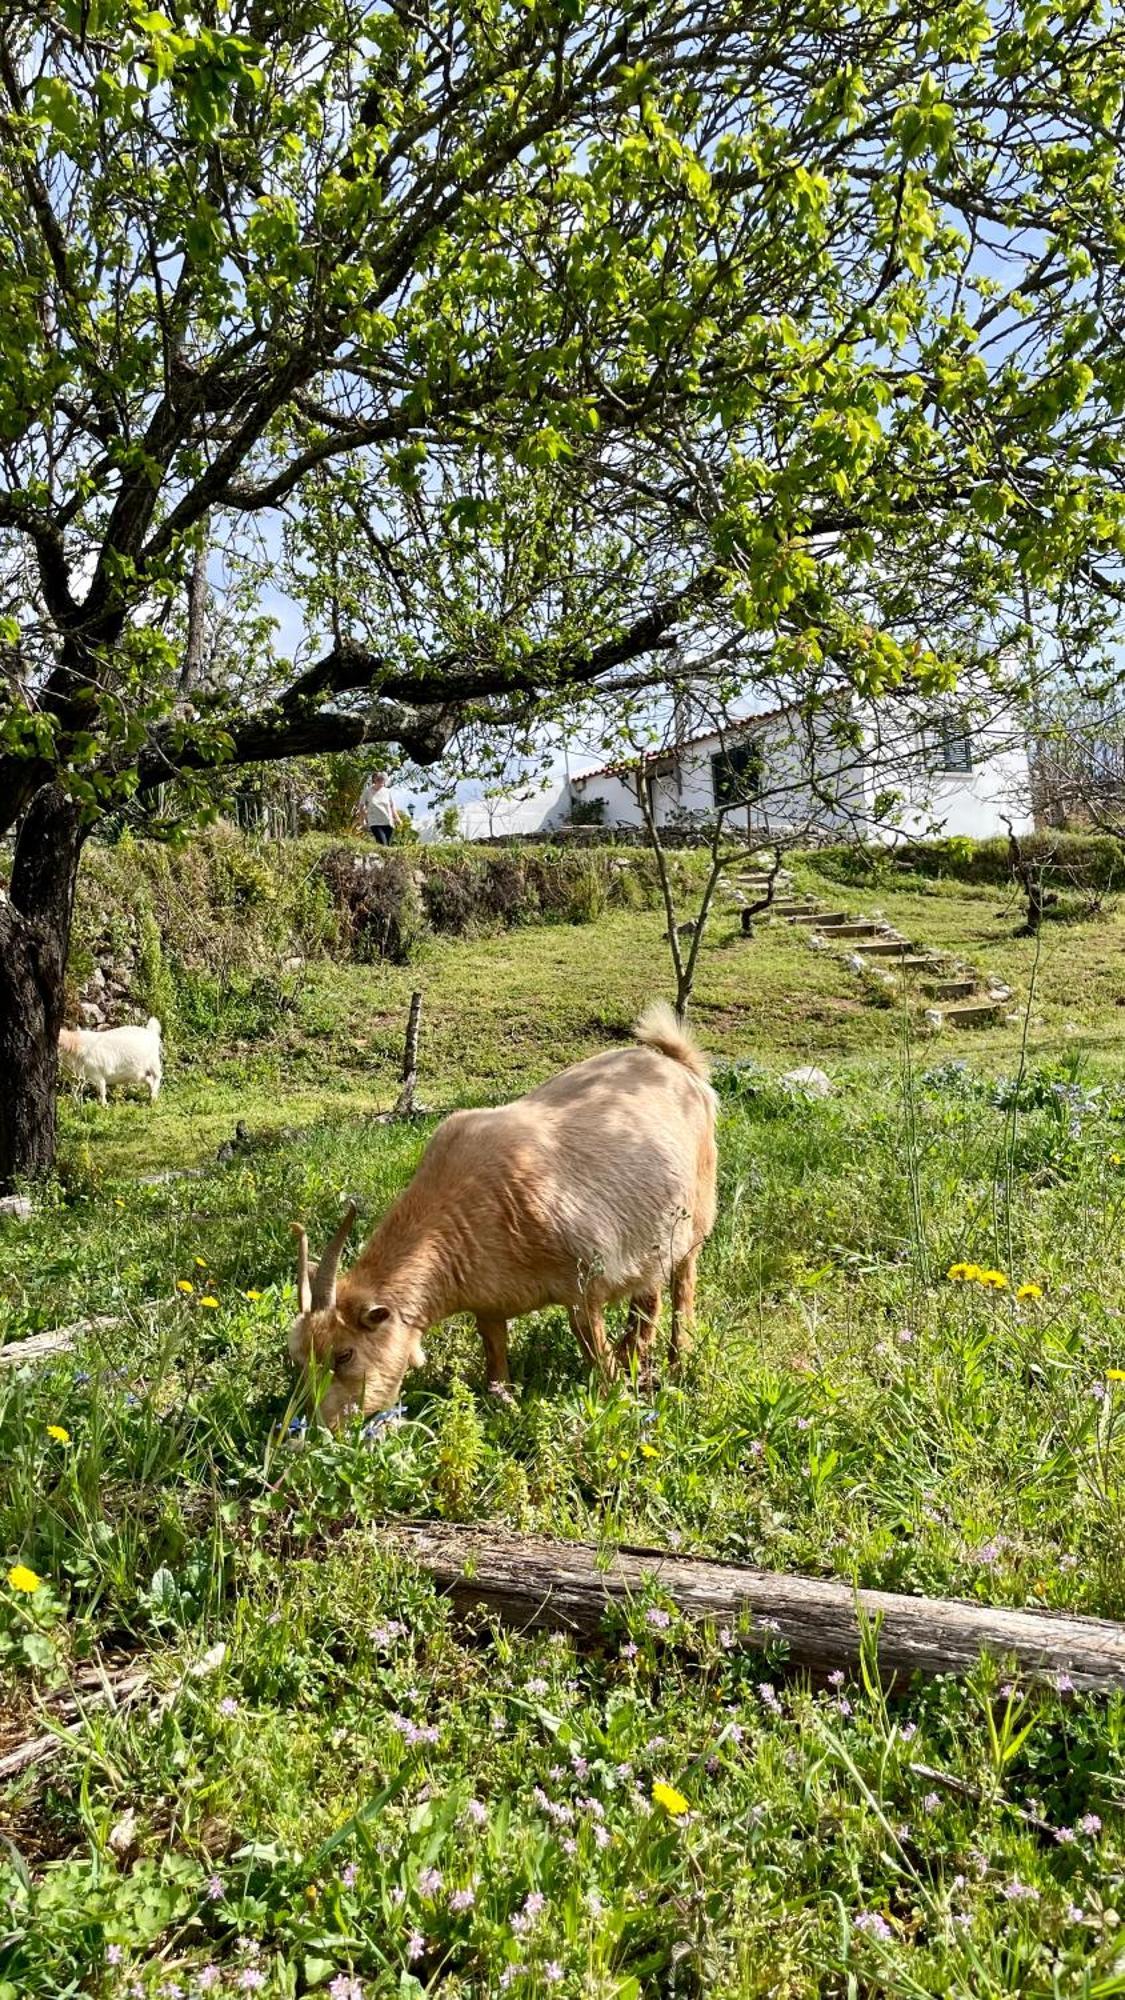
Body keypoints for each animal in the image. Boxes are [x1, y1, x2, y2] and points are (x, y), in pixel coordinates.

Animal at [284, 1000, 712, 1424]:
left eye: (344, 1354)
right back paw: (636, 1355)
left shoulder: (583, 1285)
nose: (321, 1428)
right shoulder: (487, 1302)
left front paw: (615, 1405)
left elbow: (595, 1355)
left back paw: (678, 1361)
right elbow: (495, 1354)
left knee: (683, 1285)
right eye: (299, 1359)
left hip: (696, 1217)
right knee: (649, 1296)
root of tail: (681, 1067)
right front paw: (502, 1405)